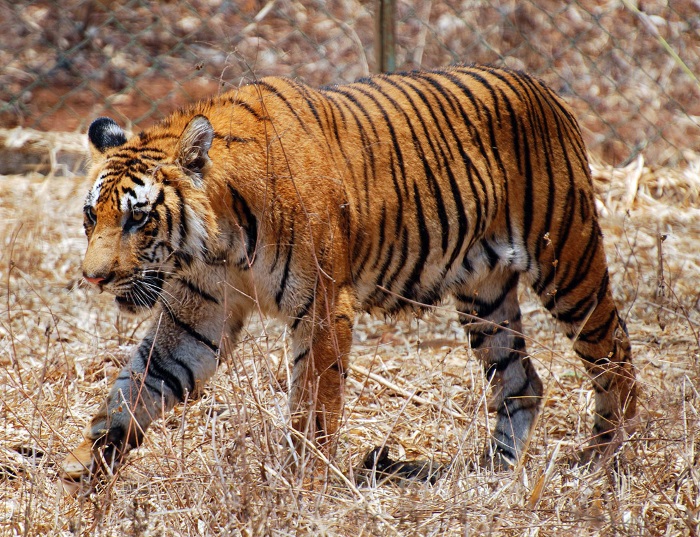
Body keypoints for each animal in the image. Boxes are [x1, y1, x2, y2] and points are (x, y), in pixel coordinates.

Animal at [63, 65, 636, 484]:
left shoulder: (321, 308)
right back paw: (493, 471)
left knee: (613, 352)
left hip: (569, 263)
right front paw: (85, 465)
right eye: (92, 215)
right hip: (485, 297)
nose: (93, 278)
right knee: (521, 380)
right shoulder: (196, 316)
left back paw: (608, 459)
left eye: (138, 218)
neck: (217, 243)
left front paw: (302, 483)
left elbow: (314, 406)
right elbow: (137, 386)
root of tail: (544, 90)